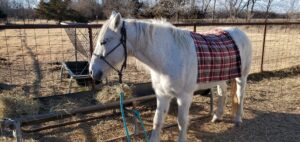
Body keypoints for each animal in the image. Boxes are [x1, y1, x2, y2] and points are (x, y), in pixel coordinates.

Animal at [89, 11, 253, 141]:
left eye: (104, 41)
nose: (92, 71)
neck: (169, 56)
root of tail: (240, 32)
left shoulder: (184, 97)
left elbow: (182, 121)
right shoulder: (162, 95)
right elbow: (157, 120)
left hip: (241, 77)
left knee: (240, 95)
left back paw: (238, 119)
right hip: (220, 77)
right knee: (222, 92)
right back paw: (217, 116)